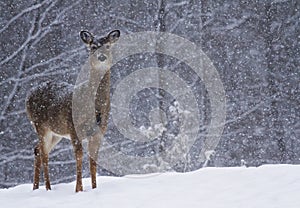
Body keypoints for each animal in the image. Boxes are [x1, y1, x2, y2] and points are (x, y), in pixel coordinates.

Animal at [25, 29, 120, 192]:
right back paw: (48, 188)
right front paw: (78, 190)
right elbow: (79, 157)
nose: (102, 57)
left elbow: (93, 160)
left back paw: (35, 188)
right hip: (40, 125)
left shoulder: (99, 131)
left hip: (56, 132)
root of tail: (28, 95)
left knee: (37, 149)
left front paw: (94, 188)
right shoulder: (74, 129)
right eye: (93, 47)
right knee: (44, 154)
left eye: (108, 46)